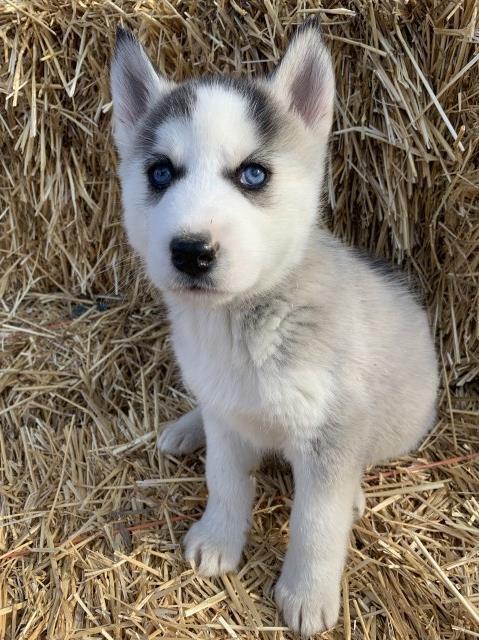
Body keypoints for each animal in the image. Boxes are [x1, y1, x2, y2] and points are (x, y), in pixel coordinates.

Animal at [111, 22, 438, 636]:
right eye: (160, 173)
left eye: (253, 174)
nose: (191, 252)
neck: (241, 326)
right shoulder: (226, 412)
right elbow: (223, 478)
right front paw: (218, 538)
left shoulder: (329, 433)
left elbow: (316, 523)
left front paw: (307, 595)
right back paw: (184, 429)